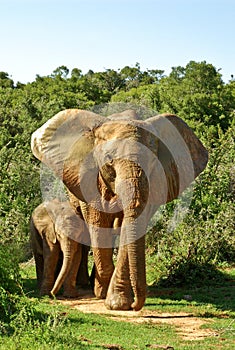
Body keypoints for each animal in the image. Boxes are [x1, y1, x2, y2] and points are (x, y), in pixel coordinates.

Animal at [30, 108, 207, 308]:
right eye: (109, 161)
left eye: (153, 162)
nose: (136, 305)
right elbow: (98, 224)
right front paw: (102, 293)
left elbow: (128, 228)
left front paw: (117, 303)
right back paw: (86, 286)